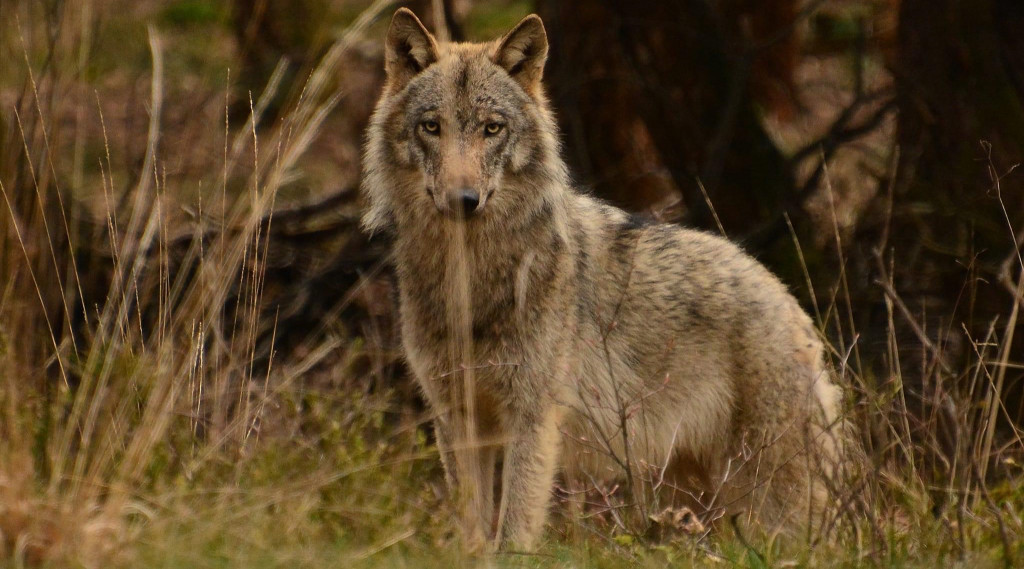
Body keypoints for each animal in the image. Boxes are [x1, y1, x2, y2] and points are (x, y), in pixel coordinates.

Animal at [361, 8, 844, 551]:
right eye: (431, 126)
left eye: (491, 128)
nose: (463, 200)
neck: (472, 282)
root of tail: (792, 304)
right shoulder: (457, 420)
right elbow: (472, 537)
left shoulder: (533, 419)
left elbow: (513, 535)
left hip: (771, 505)